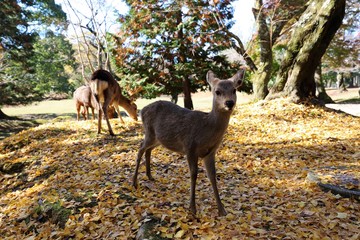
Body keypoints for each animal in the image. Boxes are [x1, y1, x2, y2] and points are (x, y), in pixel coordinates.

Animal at [132, 69, 245, 216]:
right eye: (217, 91)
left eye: (234, 90)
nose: (229, 103)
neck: (206, 129)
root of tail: (142, 111)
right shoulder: (189, 147)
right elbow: (193, 174)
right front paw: (192, 208)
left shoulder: (211, 152)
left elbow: (212, 176)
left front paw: (222, 210)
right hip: (149, 133)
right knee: (140, 149)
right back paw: (134, 182)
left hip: (159, 139)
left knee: (148, 150)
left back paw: (150, 176)